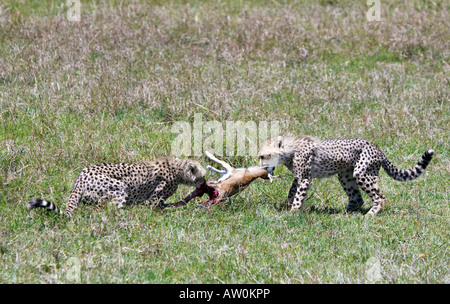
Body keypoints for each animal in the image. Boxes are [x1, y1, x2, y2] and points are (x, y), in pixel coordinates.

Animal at [29, 157, 208, 218]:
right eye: (202, 177)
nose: (205, 184)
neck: (178, 169)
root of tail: (80, 179)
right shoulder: (153, 200)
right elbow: (157, 207)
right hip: (120, 187)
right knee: (107, 210)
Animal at [258, 134, 434, 215]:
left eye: (264, 156)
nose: (260, 167)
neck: (290, 149)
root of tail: (377, 148)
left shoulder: (305, 178)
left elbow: (299, 196)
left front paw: (293, 212)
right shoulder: (299, 177)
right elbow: (292, 190)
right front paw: (286, 204)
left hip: (362, 173)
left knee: (380, 197)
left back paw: (371, 214)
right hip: (345, 175)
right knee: (357, 198)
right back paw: (343, 213)